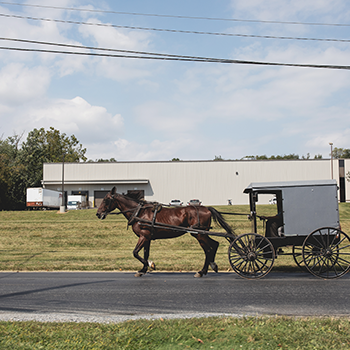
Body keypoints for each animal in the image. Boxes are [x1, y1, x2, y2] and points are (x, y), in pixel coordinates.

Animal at [95, 187, 234, 278]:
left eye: (106, 200)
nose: (98, 214)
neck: (139, 212)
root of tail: (207, 208)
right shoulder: (147, 238)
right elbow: (145, 253)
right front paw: (142, 270)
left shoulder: (143, 236)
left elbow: (135, 252)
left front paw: (151, 264)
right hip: (201, 233)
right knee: (214, 245)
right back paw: (212, 265)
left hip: (199, 234)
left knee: (208, 249)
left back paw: (202, 271)